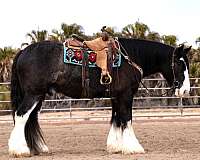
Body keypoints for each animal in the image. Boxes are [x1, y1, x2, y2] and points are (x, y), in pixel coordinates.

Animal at [8, 37, 191, 156]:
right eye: (179, 63)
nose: (185, 90)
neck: (130, 58)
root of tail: (23, 51)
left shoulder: (116, 97)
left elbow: (116, 119)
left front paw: (115, 146)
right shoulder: (125, 95)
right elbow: (127, 119)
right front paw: (133, 147)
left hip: (38, 96)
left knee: (29, 118)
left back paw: (36, 148)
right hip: (33, 94)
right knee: (21, 116)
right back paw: (19, 150)